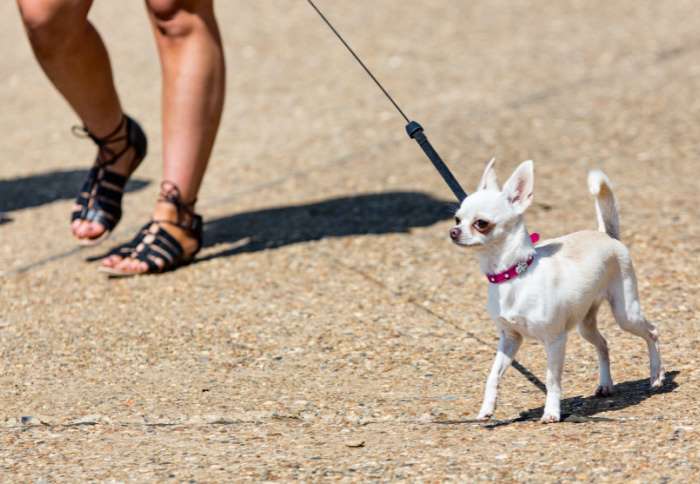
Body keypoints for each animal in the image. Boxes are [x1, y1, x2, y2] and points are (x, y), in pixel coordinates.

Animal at [452, 160, 664, 424]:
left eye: (481, 223)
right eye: (457, 218)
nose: (453, 231)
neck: (514, 275)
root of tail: (606, 235)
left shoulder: (555, 340)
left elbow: (552, 380)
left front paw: (552, 412)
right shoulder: (510, 339)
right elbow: (493, 375)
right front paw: (486, 409)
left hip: (626, 314)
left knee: (652, 332)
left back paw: (657, 376)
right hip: (586, 325)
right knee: (603, 344)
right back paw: (606, 384)